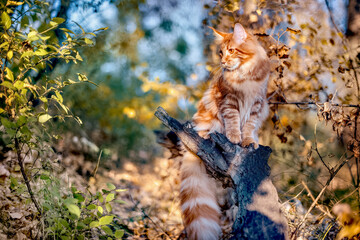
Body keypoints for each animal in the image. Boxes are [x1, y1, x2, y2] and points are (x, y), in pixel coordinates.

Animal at [180, 23, 270, 240]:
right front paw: (234, 137)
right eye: (220, 52)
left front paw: (247, 141)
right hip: (206, 123)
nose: (222, 61)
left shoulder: (257, 105)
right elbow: (233, 122)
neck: (245, 75)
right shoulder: (228, 101)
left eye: (231, 50)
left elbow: (249, 127)